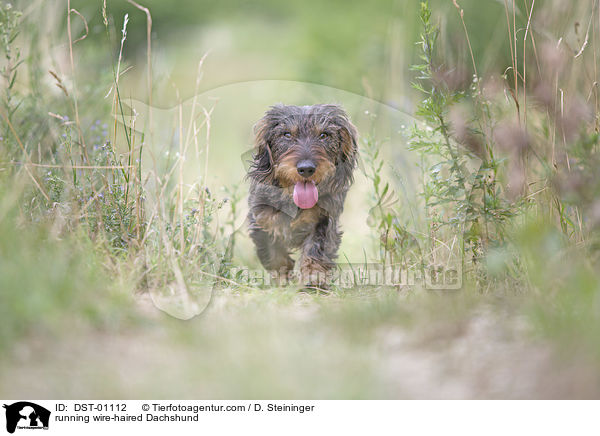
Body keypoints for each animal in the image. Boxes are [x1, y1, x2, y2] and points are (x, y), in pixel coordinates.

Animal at [247, 102, 358, 286]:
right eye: (286, 134)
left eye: (324, 135)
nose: (306, 168)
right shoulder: (262, 219)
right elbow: (274, 254)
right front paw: (282, 279)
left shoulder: (324, 221)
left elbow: (316, 252)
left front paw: (313, 280)